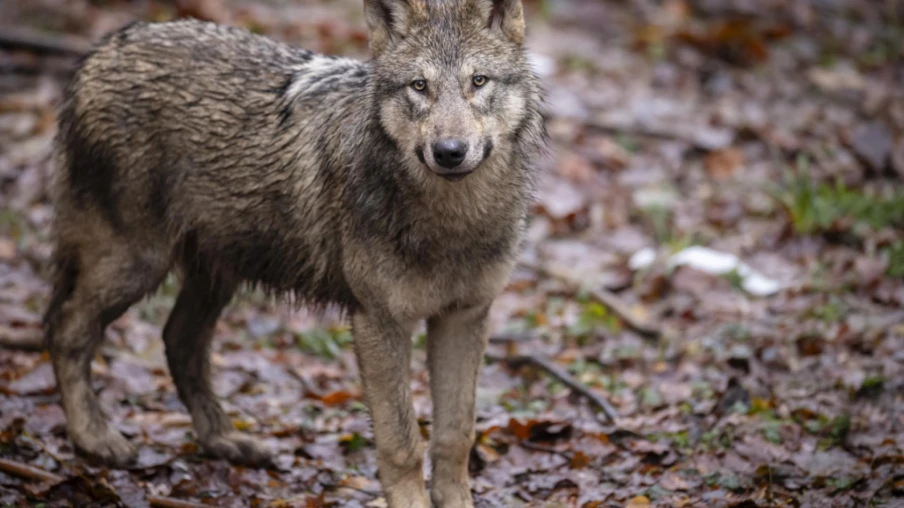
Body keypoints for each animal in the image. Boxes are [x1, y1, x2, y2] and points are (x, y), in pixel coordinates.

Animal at [44, 0, 544, 505]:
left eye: (478, 81)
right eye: (419, 86)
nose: (449, 151)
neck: (453, 224)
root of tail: (100, 50)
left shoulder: (464, 316)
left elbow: (455, 434)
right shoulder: (378, 322)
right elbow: (402, 443)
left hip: (217, 273)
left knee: (179, 342)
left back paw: (225, 440)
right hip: (136, 264)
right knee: (66, 331)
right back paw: (94, 439)